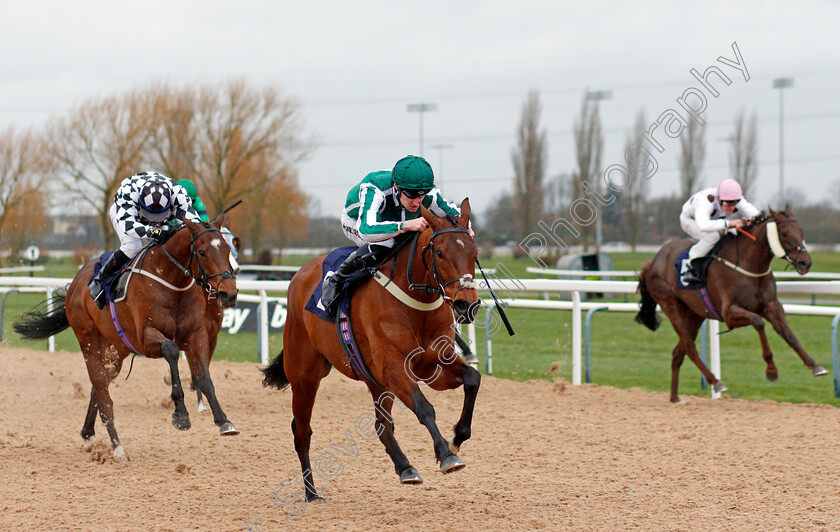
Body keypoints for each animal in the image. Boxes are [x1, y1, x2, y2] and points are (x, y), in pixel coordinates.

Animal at [15, 216, 240, 458]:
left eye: (227, 249)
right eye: (201, 251)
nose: (229, 293)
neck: (173, 282)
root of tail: (76, 282)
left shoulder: (197, 335)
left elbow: (204, 377)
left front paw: (223, 421)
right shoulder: (146, 339)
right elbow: (171, 350)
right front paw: (181, 414)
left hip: (117, 350)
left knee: (99, 386)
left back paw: (88, 433)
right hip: (89, 341)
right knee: (102, 389)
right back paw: (116, 446)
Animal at [262, 200, 486, 502]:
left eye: (474, 252)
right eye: (439, 253)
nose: (466, 305)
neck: (416, 304)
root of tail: (299, 275)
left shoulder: (434, 366)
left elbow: (473, 378)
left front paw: (457, 438)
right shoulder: (394, 367)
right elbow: (424, 408)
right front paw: (446, 455)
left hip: (375, 380)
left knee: (382, 425)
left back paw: (406, 468)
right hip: (305, 376)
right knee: (302, 431)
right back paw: (311, 493)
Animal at [636, 208, 828, 404]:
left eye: (801, 232)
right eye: (784, 233)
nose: (805, 262)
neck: (749, 264)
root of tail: (654, 262)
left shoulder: (772, 306)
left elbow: (788, 334)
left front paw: (815, 366)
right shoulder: (729, 313)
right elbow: (758, 322)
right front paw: (771, 370)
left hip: (694, 314)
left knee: (678, 353)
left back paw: (675, 397)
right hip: (671, 305)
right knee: (689, 347)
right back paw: (715, 381)